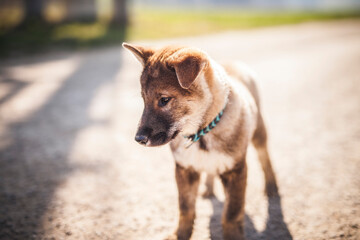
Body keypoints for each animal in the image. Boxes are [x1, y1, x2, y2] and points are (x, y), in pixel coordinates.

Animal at [122, 43, 278, 240]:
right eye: (144, 99)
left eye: (164, 100)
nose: (139, 139)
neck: (201, 134)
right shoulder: (184, 169)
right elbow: (185, 209)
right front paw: (179, 234)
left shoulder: (236, 171)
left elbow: (231, 214)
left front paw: (232, 234)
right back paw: (209, 189)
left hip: (259, 131)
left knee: (265, 158)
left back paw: (271, 186)